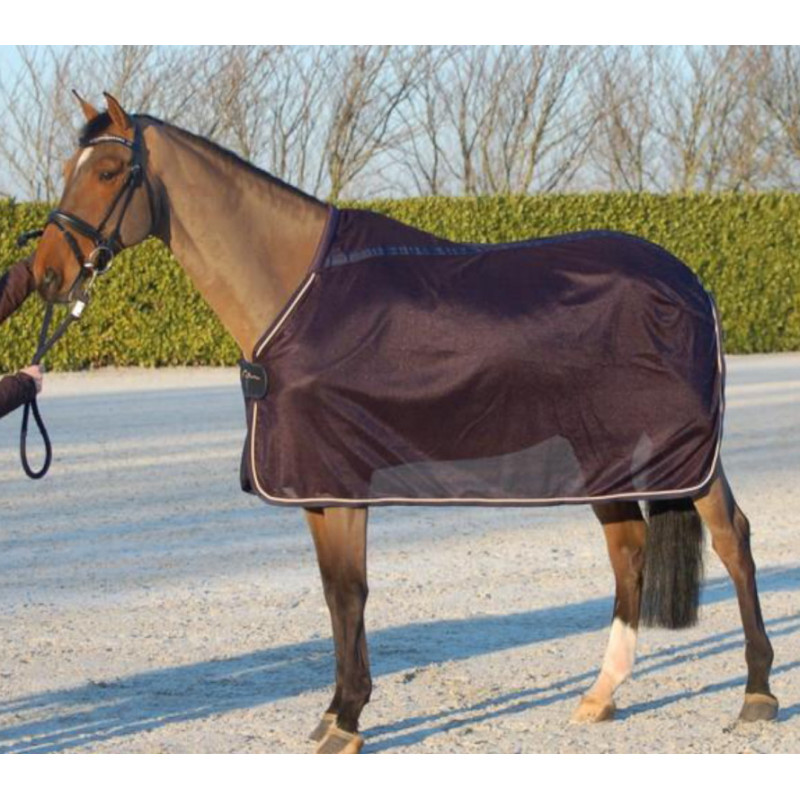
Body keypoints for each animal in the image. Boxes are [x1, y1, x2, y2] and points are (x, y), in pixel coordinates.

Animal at [27, 92, 778, 754]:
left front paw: (349, 719)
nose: (45, 273)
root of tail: (690, 281)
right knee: (629, 550)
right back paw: (601, 694)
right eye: (70, 167)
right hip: (602, 456)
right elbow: (335, 592)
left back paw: (757, 693)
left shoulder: (340, 480)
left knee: (732, 540)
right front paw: (335, 712)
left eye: (107, 172)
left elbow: (351, 592)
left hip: (684, 456)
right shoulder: (317, 485)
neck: (296, 291)